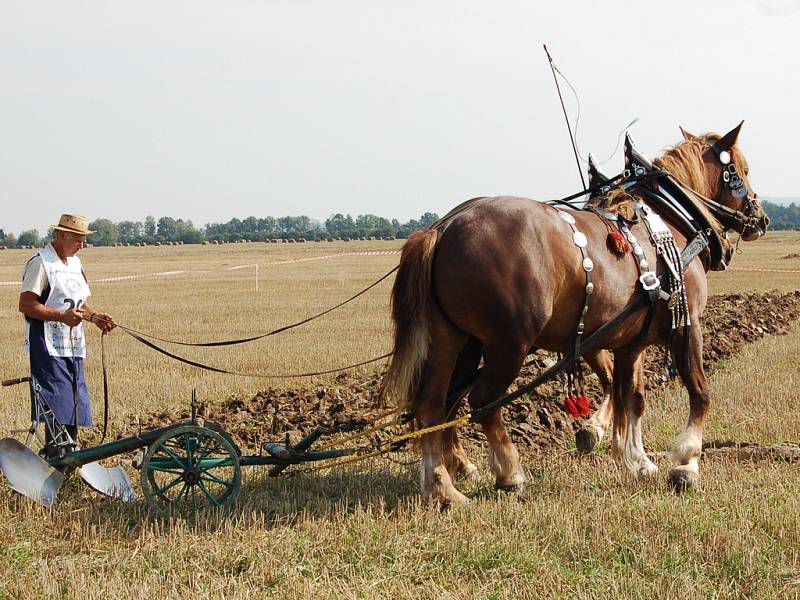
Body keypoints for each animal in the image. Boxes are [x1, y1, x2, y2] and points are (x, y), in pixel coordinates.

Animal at [384, 124, 772, 504]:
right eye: (742, 171)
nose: (761, 218)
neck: (669, 224)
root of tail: (443, 228)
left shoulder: (630, 344)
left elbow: (632, 397)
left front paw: (637, 461)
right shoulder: (687, 325)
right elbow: (699, 391)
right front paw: (686, 463)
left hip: (455, 340)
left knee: (434, 403)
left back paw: (442, 485)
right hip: (509, 344)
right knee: (482, 401)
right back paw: (508, 474)